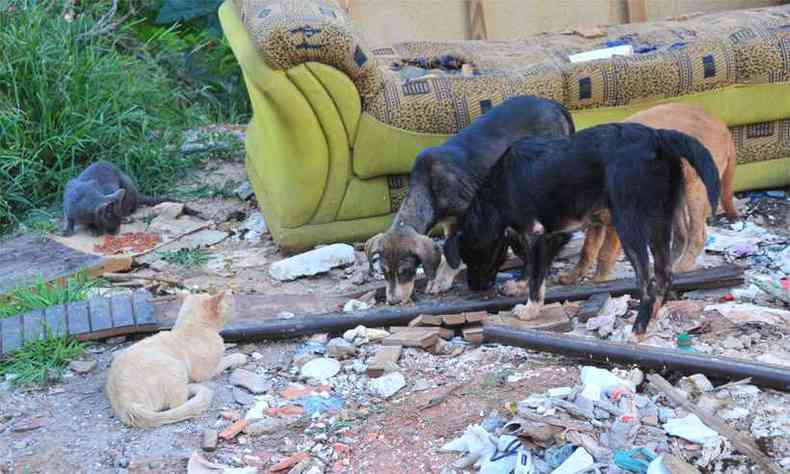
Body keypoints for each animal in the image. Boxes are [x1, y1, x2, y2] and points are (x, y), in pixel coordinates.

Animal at [105, 290, 246, 428]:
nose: (229, 306)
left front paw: (229, 345)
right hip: (177, 367)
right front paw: (239, 356)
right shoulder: (205, 373)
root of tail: (126, 406)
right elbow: (226, 359)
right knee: (178, 404)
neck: (191, 326)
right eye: (225, 307)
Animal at [366, 96, 576, 304]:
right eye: (384, 273)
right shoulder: (450, 222)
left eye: (406, 271)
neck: (428, 187)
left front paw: (441, 280)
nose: (392, 302)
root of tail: (556, 105)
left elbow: (453, 253)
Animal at [448, 124, 720, 336]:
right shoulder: (548, 235)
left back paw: (637, 330)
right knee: (665, 275)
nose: (474, 288)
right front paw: (520, 285)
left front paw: (530, 308)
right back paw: (651, 318)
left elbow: (537, 277)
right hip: (660, 222)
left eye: (473, 256)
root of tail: (658, 136)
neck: (500, 185)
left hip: (629, 224)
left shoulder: (536, 233)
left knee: (648, 282)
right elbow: (533, 267)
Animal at [560, 103, 740, 286]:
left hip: (695, 189)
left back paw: (681, 268)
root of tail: (723, 126)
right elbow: (587, 250)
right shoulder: (597, 222)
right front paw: (573, 276)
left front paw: (599, 281)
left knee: (697, 236)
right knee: (681, 236)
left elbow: (605, 253)